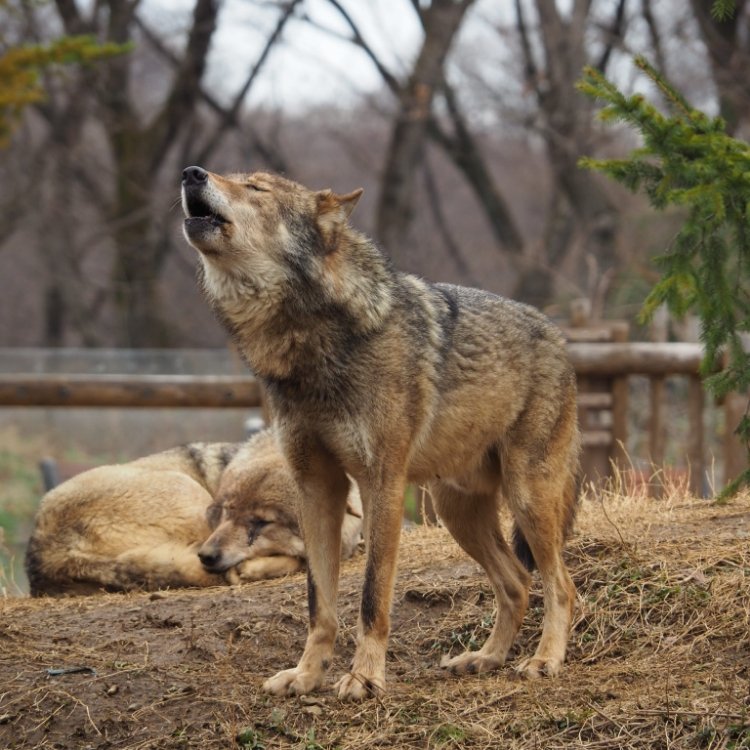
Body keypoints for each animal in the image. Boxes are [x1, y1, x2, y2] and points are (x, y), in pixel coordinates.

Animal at [181, 167, 580, 704]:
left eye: (257, 188)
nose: (191, 173)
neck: (310, 344)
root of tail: (556, 332)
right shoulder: (317, 489)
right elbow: (319, 602)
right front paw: (307, 675)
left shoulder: (381, 484)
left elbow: (372, 597)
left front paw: (365, 677)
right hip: (455, 512)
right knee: (517, 582)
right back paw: (485, 658)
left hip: (526, 498)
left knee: (561, 585)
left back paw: (544, 660)